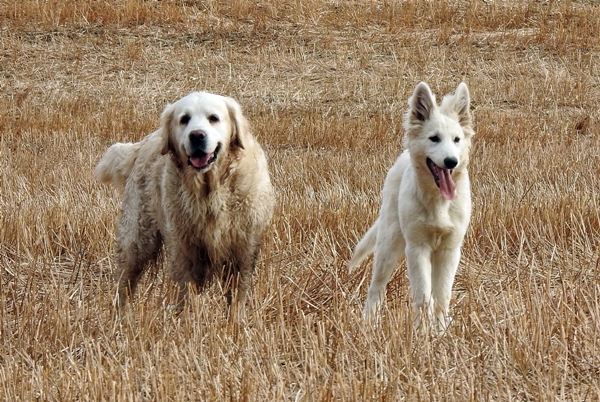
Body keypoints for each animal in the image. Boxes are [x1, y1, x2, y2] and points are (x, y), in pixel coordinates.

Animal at [350, 81, 476, 330]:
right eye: (434, 138)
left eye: (456, 139)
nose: (451, 162)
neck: (438, 203)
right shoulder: (417, 247)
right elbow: (423, 295)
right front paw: (421, 331)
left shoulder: (450, 249)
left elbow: (442, 296)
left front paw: (440, 330)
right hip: (389, 244)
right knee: (376, 287)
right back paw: (369, 324)